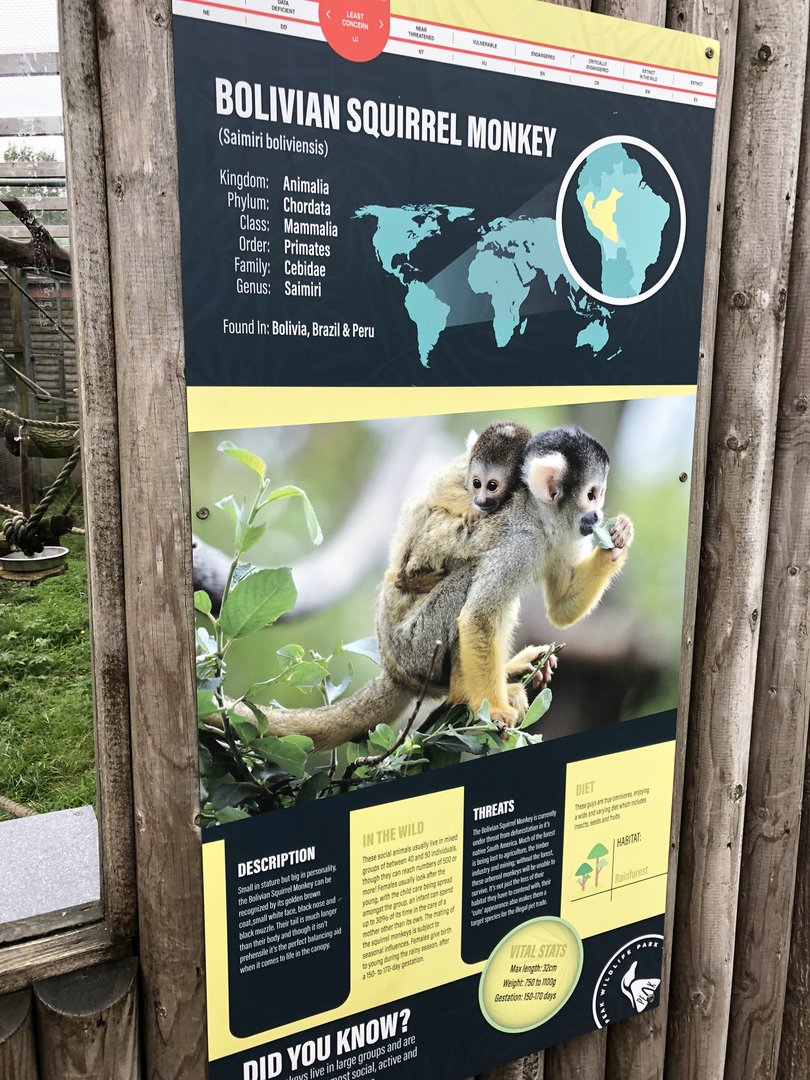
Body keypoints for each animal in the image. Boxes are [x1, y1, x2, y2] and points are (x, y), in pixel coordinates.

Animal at [390, 421, 532, 592]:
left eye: (492, 486)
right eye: (476, 483)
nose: (480, 501)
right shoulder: (463, 467)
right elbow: (439, 486)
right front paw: (473, 512)